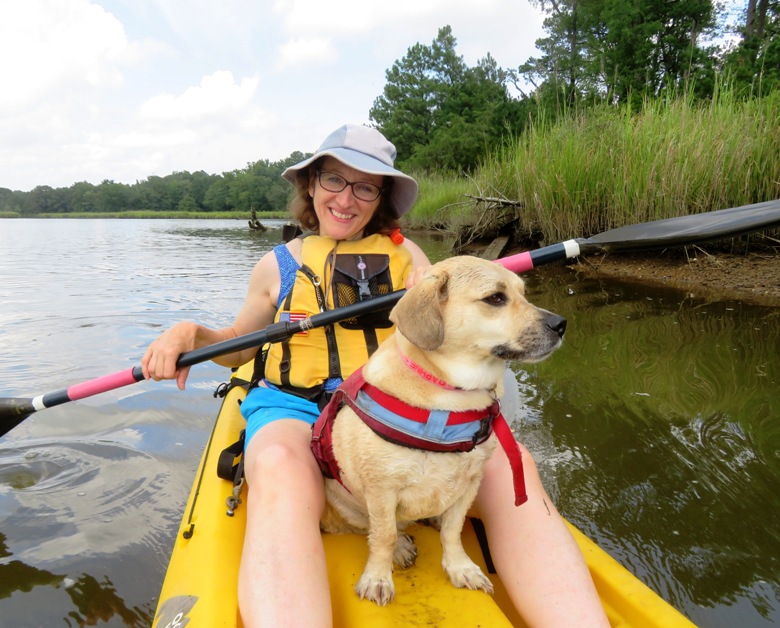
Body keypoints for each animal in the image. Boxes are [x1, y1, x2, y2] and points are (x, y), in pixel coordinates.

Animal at [314, 254, 564, 604]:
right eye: (495, 298)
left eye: (523, 293)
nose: (561, 324)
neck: (450, 395)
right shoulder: (381, 489)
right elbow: (383, 535)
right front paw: (378, 576)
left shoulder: (470, 482)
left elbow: (453, 530)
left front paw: (460, 568)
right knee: (376, 528)